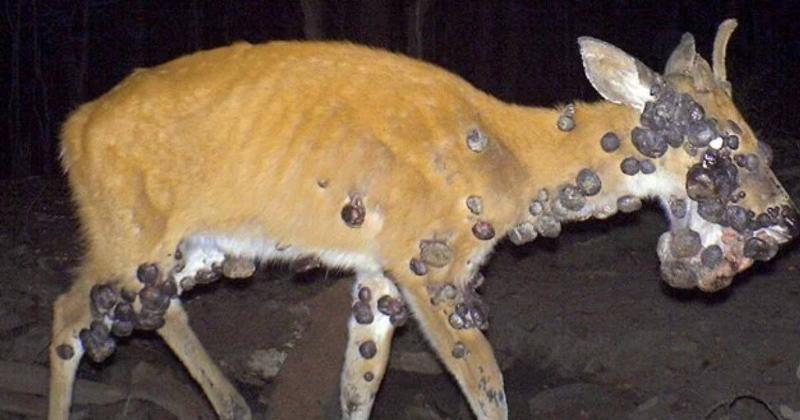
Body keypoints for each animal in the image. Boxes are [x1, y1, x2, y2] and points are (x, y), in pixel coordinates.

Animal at [50, 19, 796, 420]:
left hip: (186, 248)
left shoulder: (380, 273)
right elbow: (488, 388)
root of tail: (70, 128)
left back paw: (232, 403)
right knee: (66, 316)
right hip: (128, 235)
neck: (513, 163)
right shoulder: (428, 261)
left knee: (138, 311)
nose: (785, 217)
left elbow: (358, 385)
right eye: (727, 144)